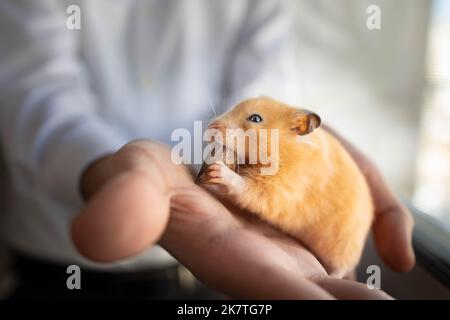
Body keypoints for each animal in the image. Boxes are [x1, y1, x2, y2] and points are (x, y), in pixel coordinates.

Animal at [196, 95, 372, 278]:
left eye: (255, 118)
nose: (210, 127)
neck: (283, 148)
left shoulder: (281, 187)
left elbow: (248, 188)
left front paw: (218, 171)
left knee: (340, 269)